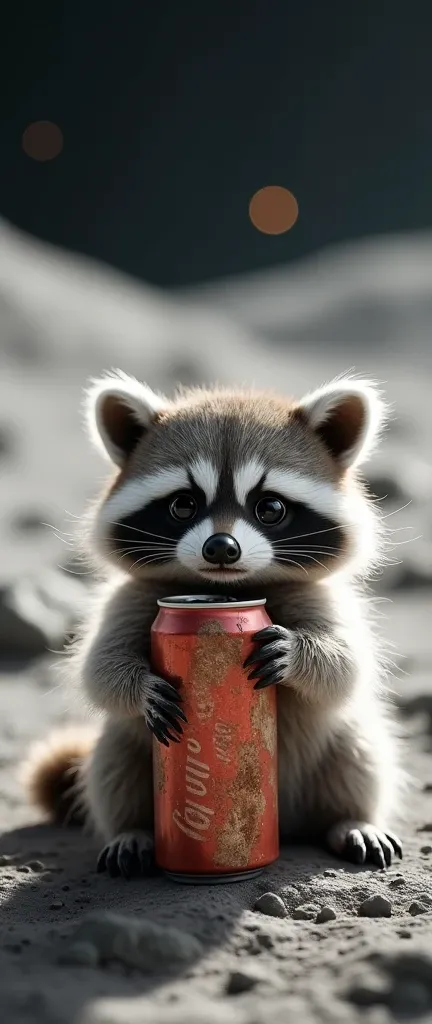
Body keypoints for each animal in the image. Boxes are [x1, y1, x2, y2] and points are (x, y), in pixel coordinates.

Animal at [22, 372, 401, 876]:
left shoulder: (320, 597)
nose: (221, 547)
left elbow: (347, 665)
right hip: (128, 749)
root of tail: (288, 825)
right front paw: (140, 685)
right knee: (114, 761)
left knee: (359, 752)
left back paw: (351, 819)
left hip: (338, 749)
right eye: (183, 505)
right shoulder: (132, 597)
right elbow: (100, 669)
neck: (226, 590)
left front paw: (297, 652)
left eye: (270, 508)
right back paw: (132, 829)